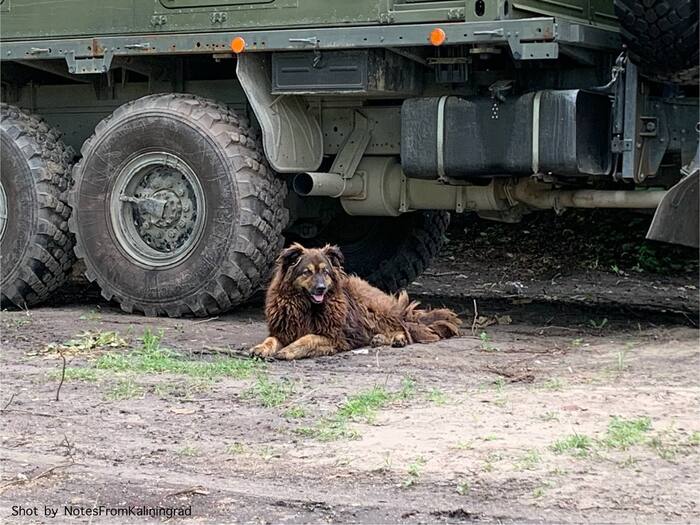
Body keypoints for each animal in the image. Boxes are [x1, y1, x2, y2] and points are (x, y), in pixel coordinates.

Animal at [249, 243, 462, 360]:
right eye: (306, 272)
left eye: (325, 272)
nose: (321, 288)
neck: (307, 307)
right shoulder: (283, 331)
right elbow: (270, 340)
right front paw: (260, 348)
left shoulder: (335, 337)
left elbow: (307, 338)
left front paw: (287, 351)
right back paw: (380, 338)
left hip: (371, 308)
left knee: (402, 327)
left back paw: (397, 339)